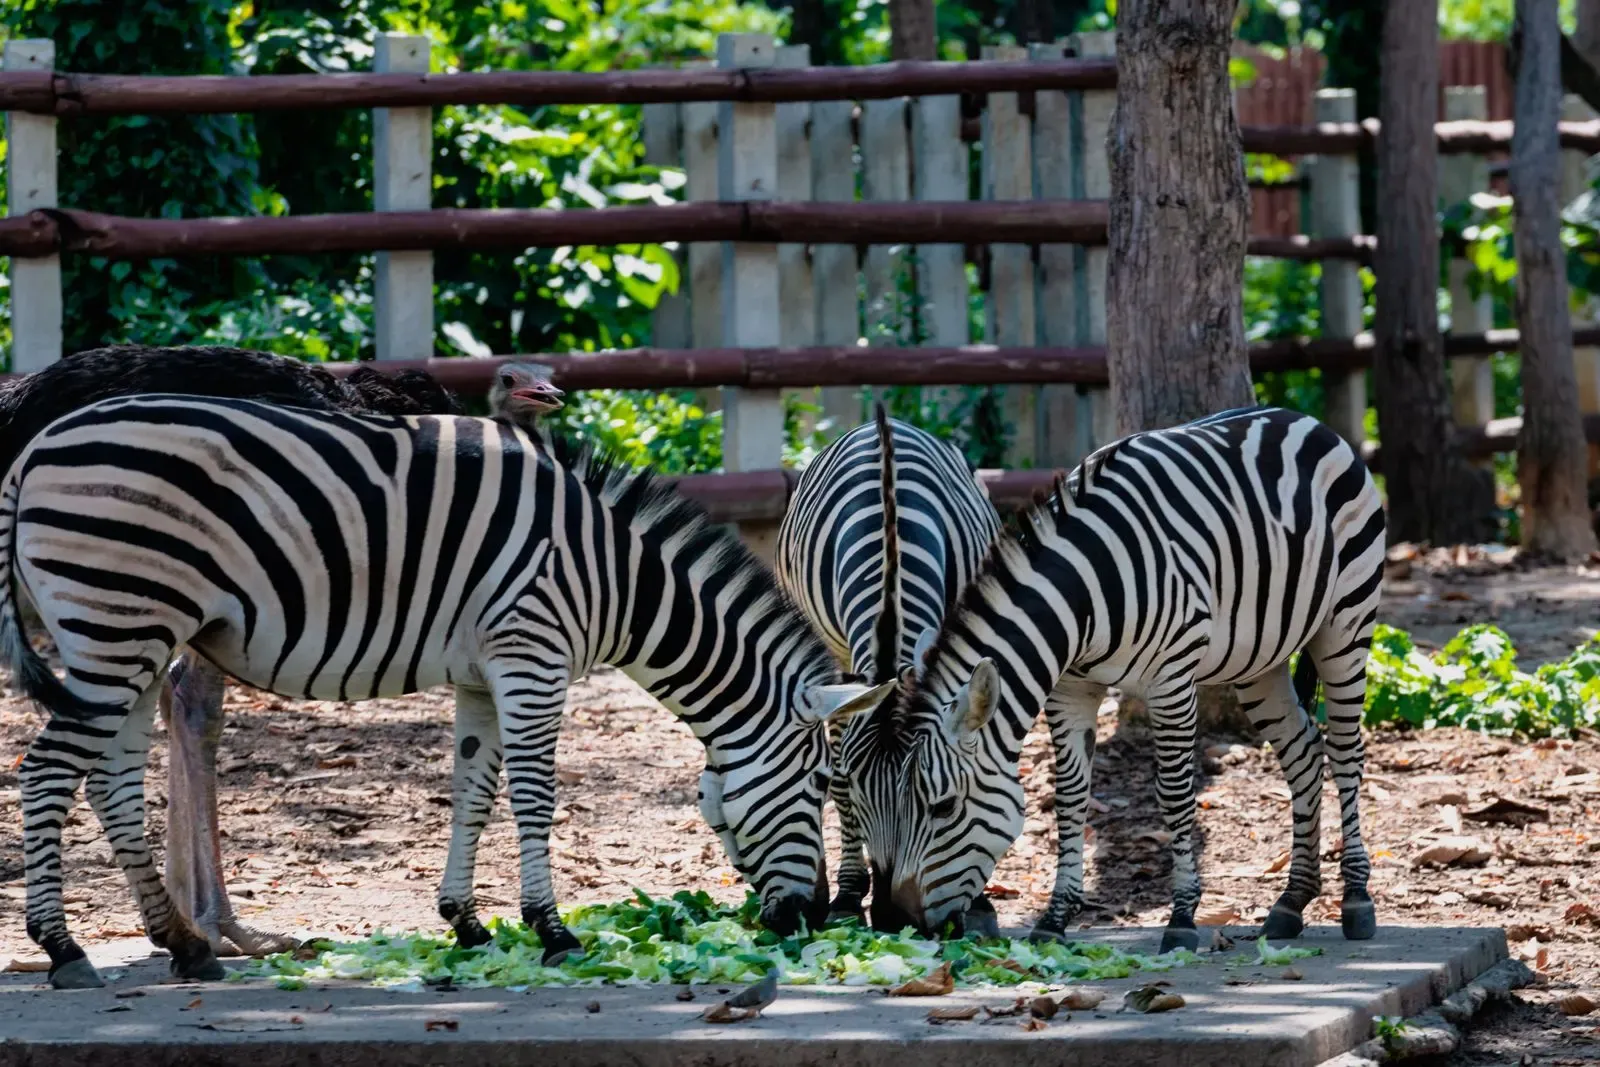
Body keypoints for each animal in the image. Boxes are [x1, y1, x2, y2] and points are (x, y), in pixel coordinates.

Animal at [1, 394, 890, 989]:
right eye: (820, 782)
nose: (810, 916)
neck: (614, 578)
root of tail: (35, 445)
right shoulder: (533, 655)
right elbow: (532, 795)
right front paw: (553, 931)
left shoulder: (482, 674)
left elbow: (472, 791)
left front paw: (466, 923)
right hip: (119, 623)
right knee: (46, 772)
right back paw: (65, 949)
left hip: (129, 637)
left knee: (111, 784)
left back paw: (183, 943)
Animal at [776, 405, 1001, 930]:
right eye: (861, 796)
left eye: (921, 796)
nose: (889, 915)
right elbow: (837, 771)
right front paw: (847, 894)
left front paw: (977, 899)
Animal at [834, 406, 1386, 953]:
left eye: (944, 806)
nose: (892, 921)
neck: (1080, 596)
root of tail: (1300, 419)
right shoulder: (1069, 691)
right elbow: (1070, 796)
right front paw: (1055, 917)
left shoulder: (1171, 679)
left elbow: (1174, 794)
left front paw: (1181, 918)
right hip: (1259, 661)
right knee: (1303, 752)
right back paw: (1292, 901)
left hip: (1346, 623)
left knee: (1345, 752)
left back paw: (1356, 899)